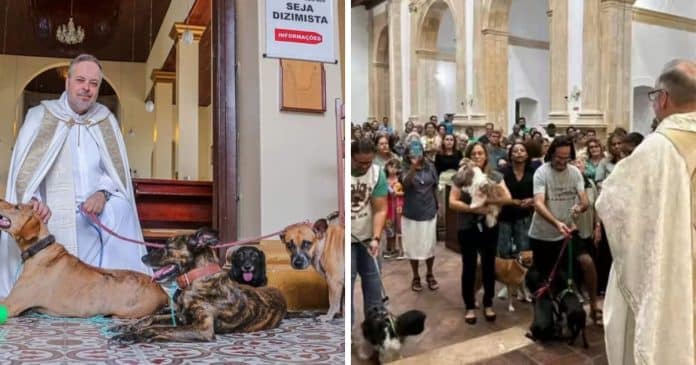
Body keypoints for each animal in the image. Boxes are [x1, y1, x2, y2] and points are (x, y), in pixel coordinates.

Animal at [108, 228, 286, 342]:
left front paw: (134, 335)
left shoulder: (202, 328)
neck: (194, 281)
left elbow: (159, 328)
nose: (143, 258)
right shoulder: (180, 317)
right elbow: (151, 318)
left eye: (168, 247)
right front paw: (128, 327)